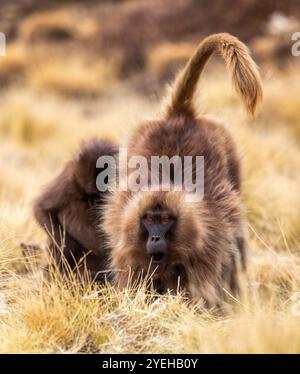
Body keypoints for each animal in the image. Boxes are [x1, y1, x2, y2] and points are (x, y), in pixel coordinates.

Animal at [33, 137, 116, 280]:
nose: (94, 203)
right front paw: (66, 248)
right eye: (91, 195)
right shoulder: (69, 180)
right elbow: (42, 209)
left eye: (103, 196)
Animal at [103, 32, 262, 306]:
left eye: (166, 220)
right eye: (149, 219)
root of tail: (179, 114)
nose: (155, 238)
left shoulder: (206, 250)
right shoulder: (129, 251)